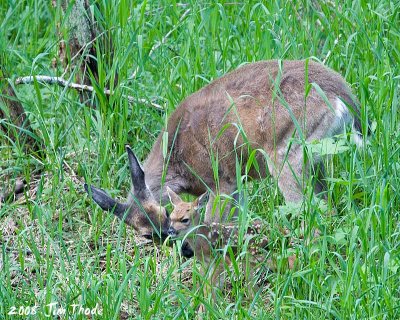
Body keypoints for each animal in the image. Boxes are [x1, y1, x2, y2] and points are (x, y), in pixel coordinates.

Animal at [85, 59, 362, 245]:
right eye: (145, 234)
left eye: (165, 213)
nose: (168, 237)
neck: (178, 159)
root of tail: (345, 96)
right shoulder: (236, 181)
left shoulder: (221, 180)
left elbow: (211, 221)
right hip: (315, 157)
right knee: (327, 204)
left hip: (287, 153)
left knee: (311, 210)